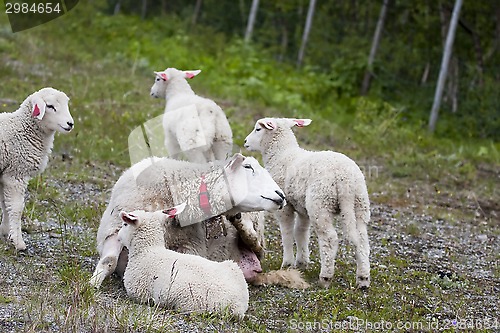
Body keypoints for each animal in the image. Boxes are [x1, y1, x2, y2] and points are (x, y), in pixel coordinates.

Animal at [0, 87, 74, 249]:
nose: (70, 124)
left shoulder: (5, 174)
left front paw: (5, 231)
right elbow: (16, 208)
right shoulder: (16, 174)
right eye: (50, 106)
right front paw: (18, 241)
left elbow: (5, 205)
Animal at [89, 153, 286, 288]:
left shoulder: (191, 246)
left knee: (256, 245)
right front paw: (93, 283)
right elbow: (109, 261)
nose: (282, 195)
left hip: (257, 233)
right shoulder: (114, 229)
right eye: (248, 167)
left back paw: (242, 225)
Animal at [117, 205, 250, 316]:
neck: (148, 250)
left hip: (191, 303)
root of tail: (238, 304)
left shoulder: (137, 291)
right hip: (233, 266)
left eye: (125, 224)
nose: (118, 237)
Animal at [244, 117, 370, 288]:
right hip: (360, 204)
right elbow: (301, 232)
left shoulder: (285, 206)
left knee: (330, 238)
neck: (282, 154)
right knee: (362, 239)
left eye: (258, 129)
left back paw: (325, 277)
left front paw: (288, 263)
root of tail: (345, 180)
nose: (245, 142)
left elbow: (287, 233)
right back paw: (363, 278)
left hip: (320, 203)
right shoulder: (302, 208)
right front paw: (302, 262)